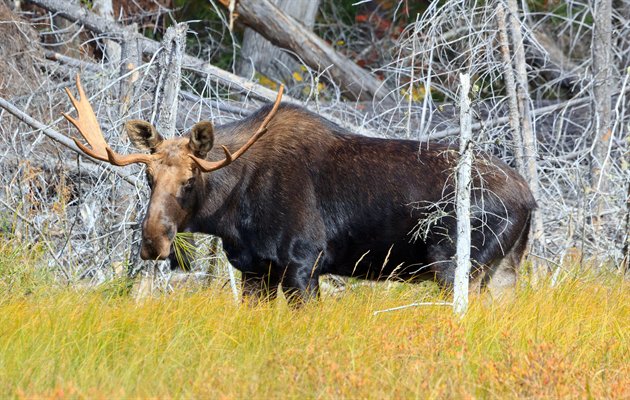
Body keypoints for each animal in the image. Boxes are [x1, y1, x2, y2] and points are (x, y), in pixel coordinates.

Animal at [64, 76, 540, 304]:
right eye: (148, 178)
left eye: (189, 180)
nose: (152, 241)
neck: (232, 216)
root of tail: (530, 197)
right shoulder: (255, 270)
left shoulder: (303, 263)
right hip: (504, 270)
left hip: (458, 265)